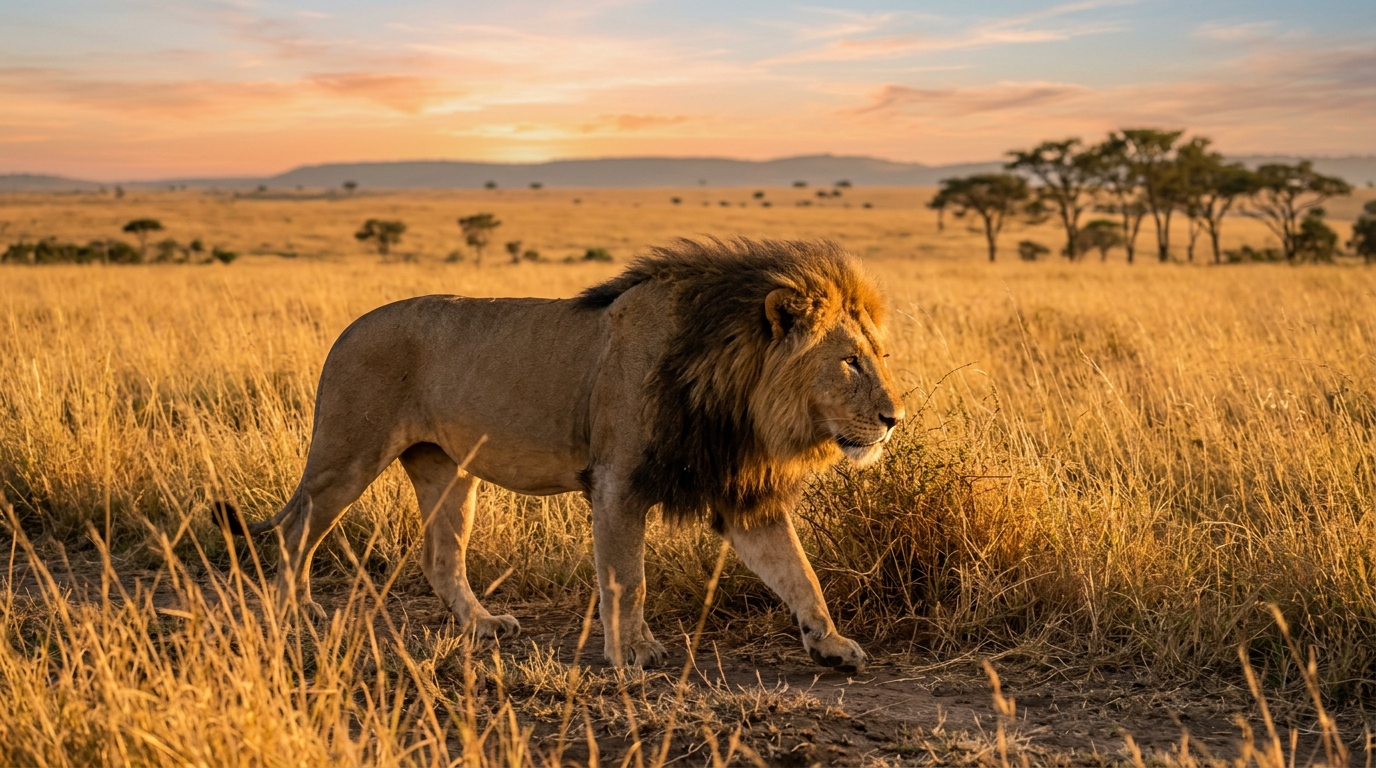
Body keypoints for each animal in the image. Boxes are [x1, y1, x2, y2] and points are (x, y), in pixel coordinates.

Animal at [215, 237, 904, 672]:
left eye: (882, 356)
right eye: (849, 361)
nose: (894, 419)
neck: (734, 389)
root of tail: (346, 330)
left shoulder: (743, 496)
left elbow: (799, 574)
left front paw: (832, 645)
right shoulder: (618, 482)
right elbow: (627, 577)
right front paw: (633, 656)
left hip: (446, 469)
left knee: (441, 557)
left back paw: (483, 625)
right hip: (348, 454)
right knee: (298, 530)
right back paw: (295, 612)